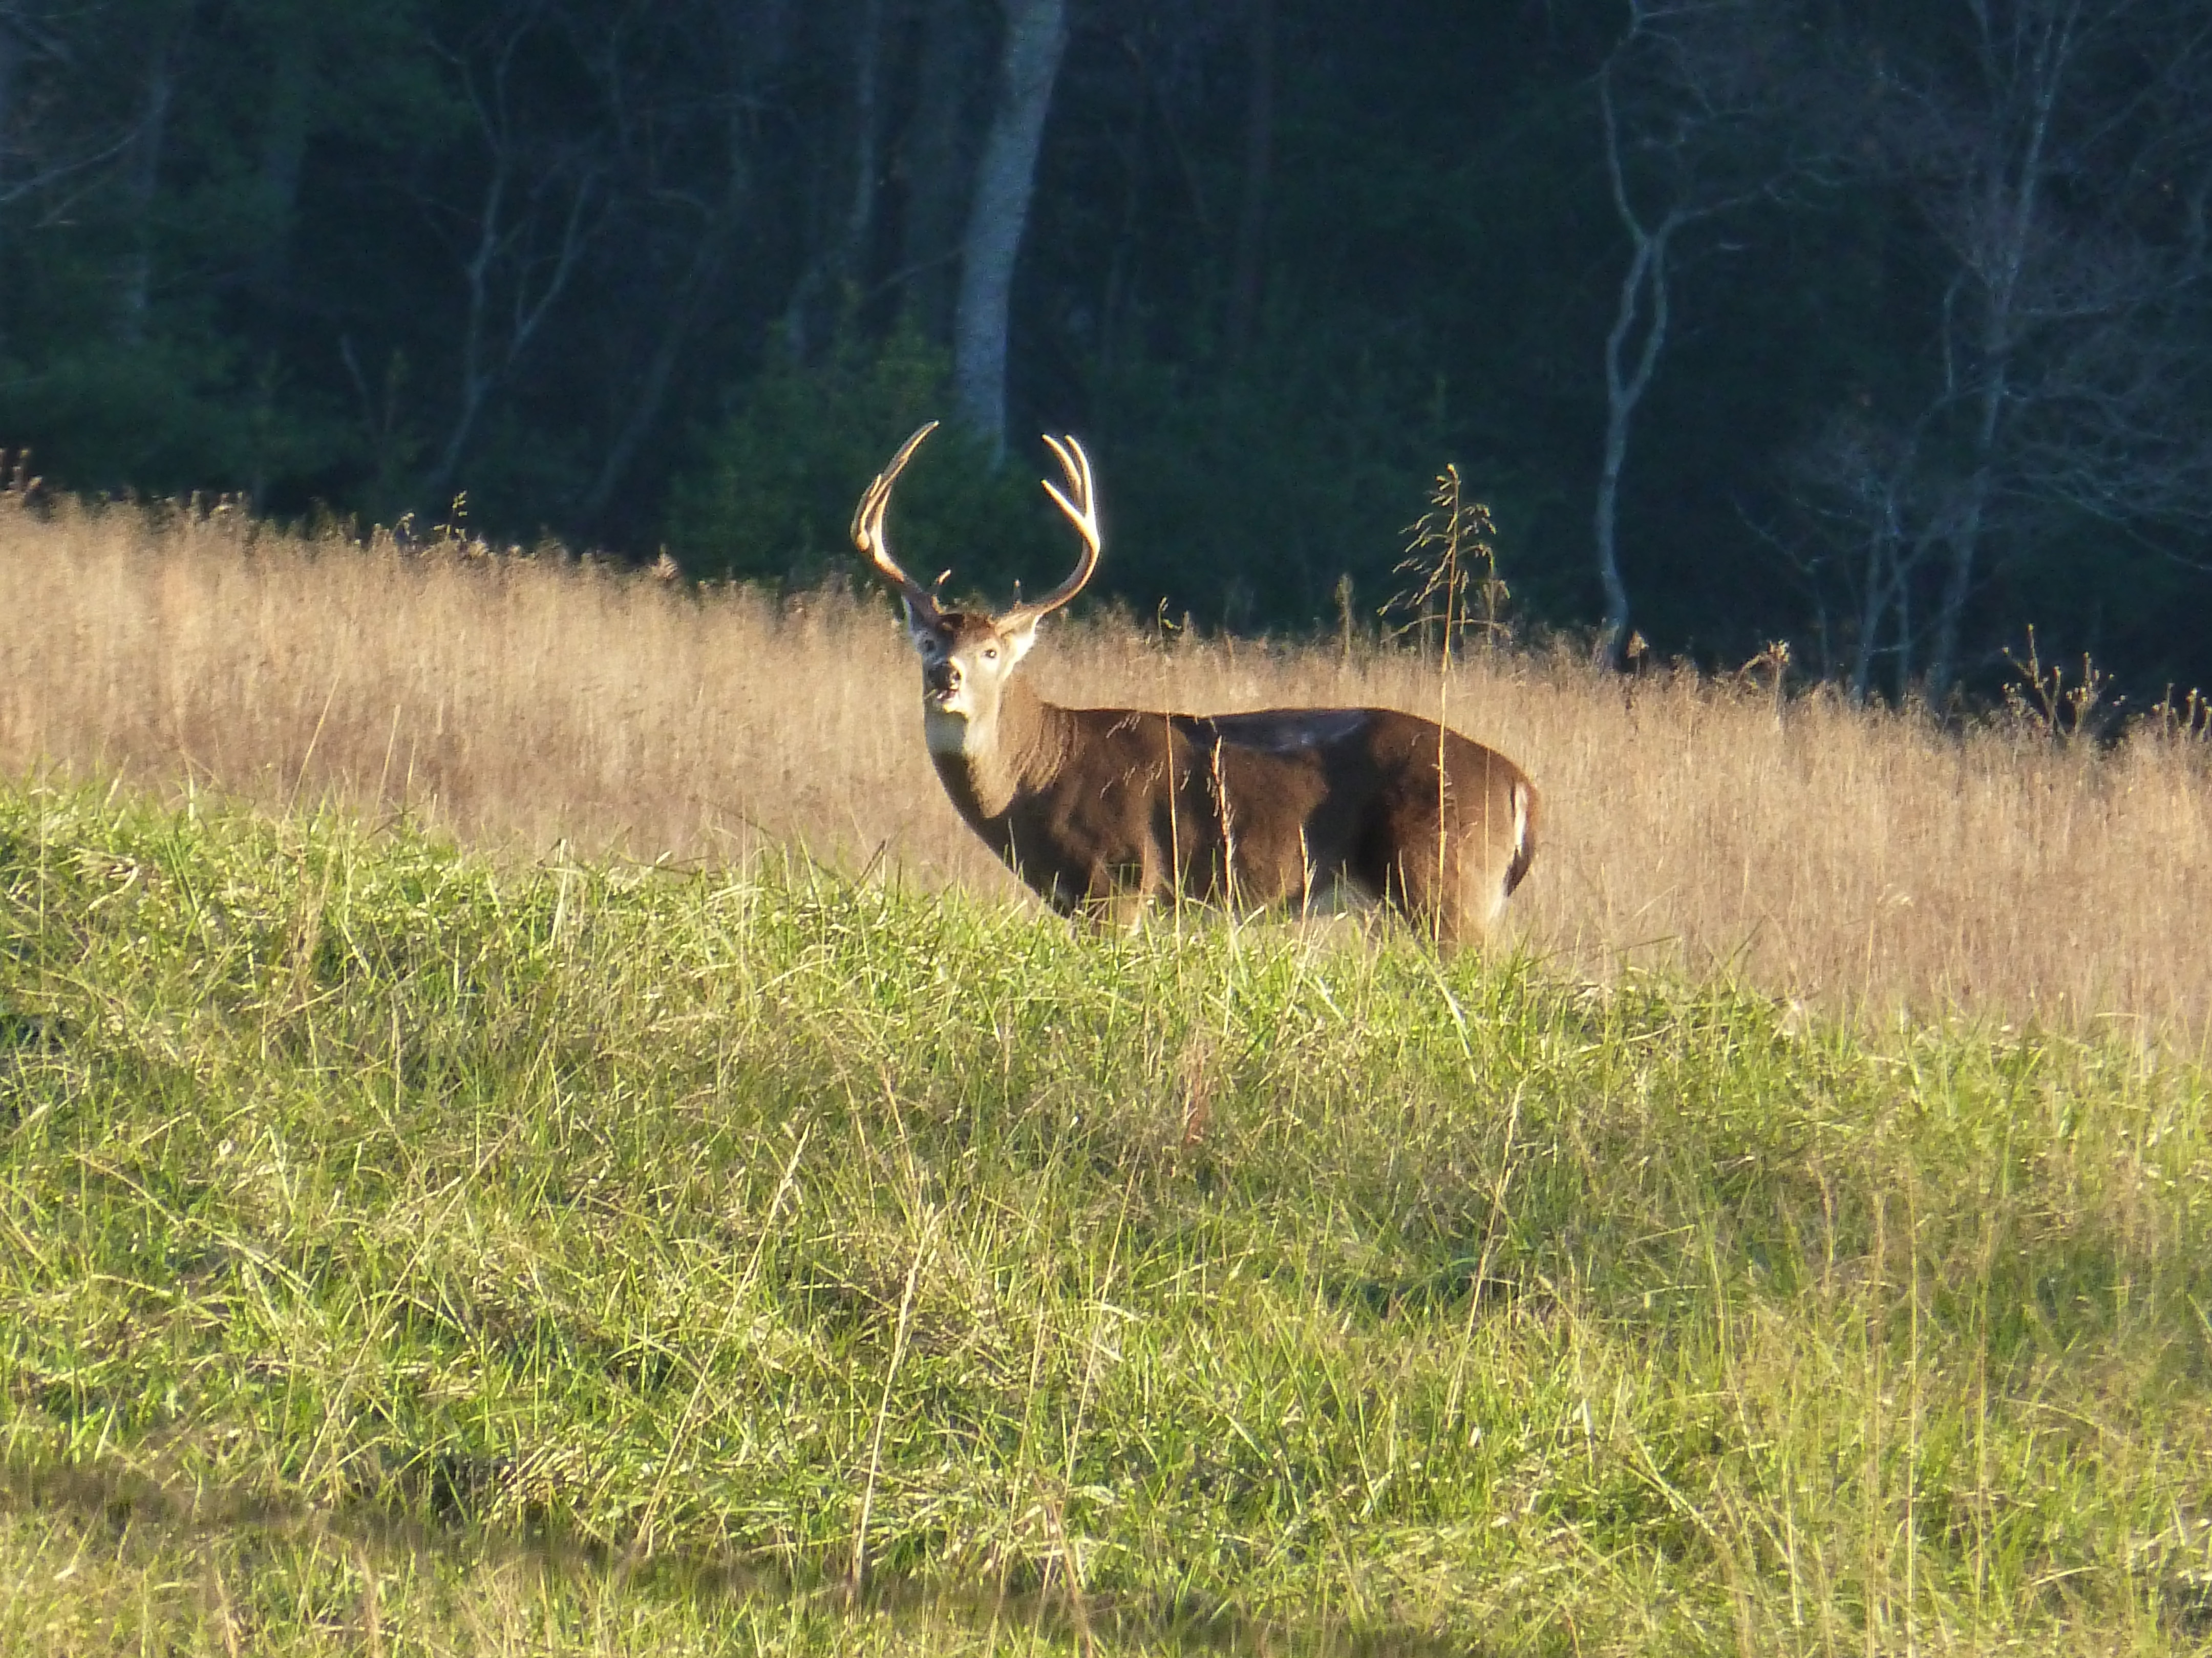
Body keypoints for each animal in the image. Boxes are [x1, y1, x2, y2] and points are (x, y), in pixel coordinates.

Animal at [851, 422, 1538, 949]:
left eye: (992, 651)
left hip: (1448, 888)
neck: (1037, 775)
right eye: (929, 643)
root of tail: (1520, 785)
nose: (946, 676)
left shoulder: (1120, 883)